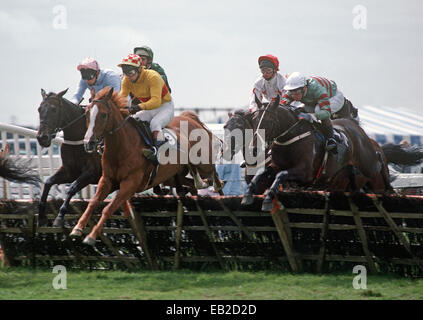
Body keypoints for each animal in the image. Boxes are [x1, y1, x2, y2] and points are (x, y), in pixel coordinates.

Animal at [36, 89, 102, 226]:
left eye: (54, 109)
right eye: (39, 109)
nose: (42, 138)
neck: (78, 138)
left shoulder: (92, 172)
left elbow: (72, 188)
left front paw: (59, 217)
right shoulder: (70, 171)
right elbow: (48, 182)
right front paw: (41, 217)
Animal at [69, 87, 225, 245]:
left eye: (103, 115)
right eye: (87, 113)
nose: (88, 143)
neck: (122, 147)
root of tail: (190, 118)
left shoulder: (130, 184)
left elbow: (109, 208)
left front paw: (91, 236)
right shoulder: (107, 180)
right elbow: (93, 203)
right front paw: (77, 228)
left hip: (202, 162)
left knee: (214, 174)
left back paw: (218, 189)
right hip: (174, 174)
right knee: (195, 184)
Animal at [242, 99, 394, 210]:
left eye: (268, 122)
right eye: (253, 121)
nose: (253, 150)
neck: (290, 138)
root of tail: (353, 123)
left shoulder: (305, 173)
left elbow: (281, 174)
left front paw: (268, 199)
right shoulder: (276, 166)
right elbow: (261, 172)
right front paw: (247, 195)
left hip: (368, 165)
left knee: (378, 163)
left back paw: (388, 184)